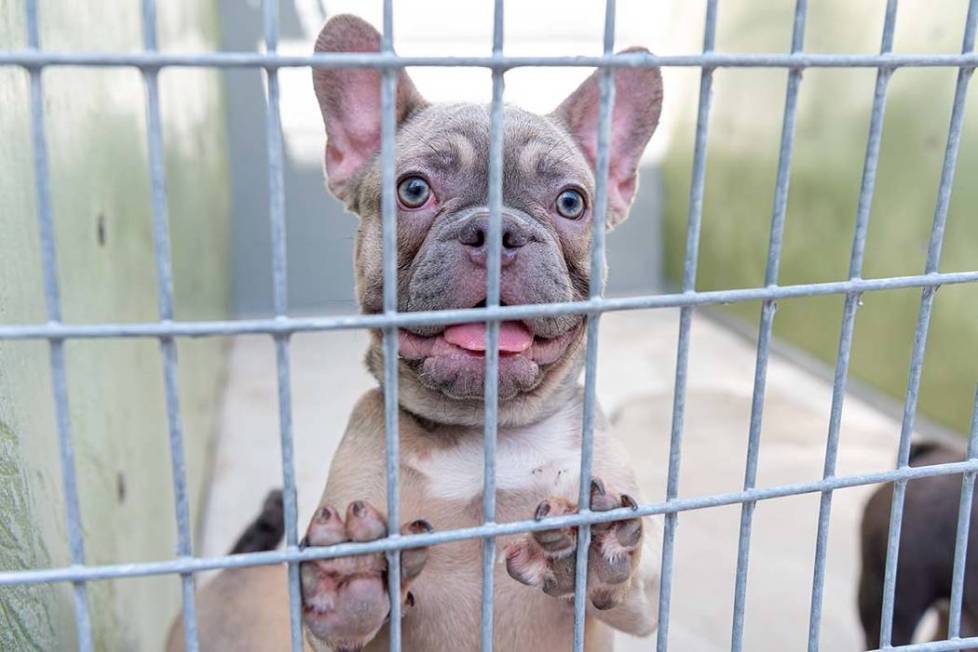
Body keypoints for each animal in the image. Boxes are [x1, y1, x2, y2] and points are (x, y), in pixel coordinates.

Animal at [172, 11, 668, 652]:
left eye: (571, 202)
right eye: (413, 190)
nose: (496, 229)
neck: (481, 436)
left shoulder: (642, 601)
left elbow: (632, 590)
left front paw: (592, 550)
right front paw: (350, 583)